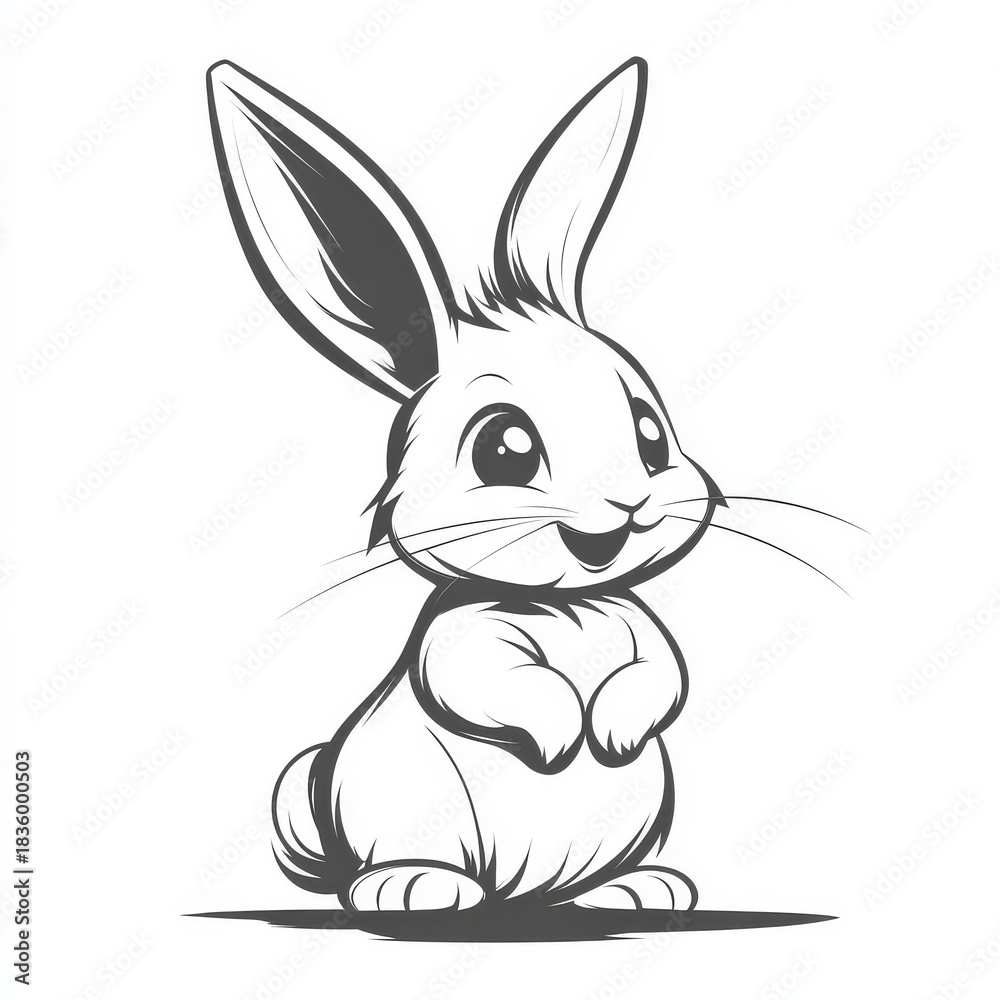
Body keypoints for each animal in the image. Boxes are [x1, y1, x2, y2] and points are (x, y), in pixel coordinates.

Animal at [207, 56, 727, 914]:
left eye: (650, 435)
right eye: (505, 449)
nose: (632, 501)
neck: (567, 606)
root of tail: (523, 898)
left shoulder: (637, 626)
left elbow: (662, 675)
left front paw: (613, 731)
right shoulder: (461, 640)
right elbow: (491, 681)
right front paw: (564, 734)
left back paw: (639, 889)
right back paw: (413, 888)